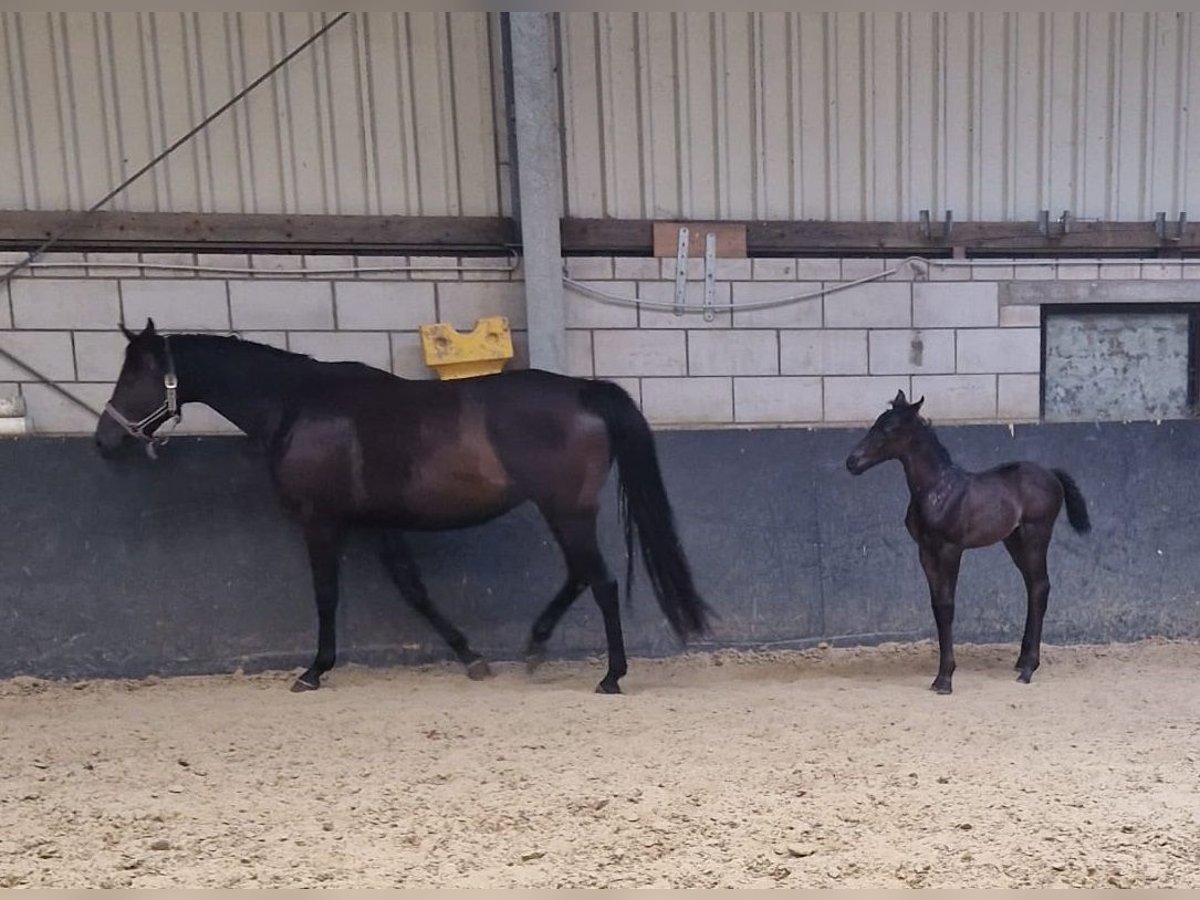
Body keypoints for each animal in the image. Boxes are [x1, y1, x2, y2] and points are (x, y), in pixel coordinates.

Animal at [98, 321, 710, 696]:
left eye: (136, 375)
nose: (106, 440)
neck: (298, 405)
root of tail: (585, 391)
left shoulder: (321, 522)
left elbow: (326, 595)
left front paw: (314, 670)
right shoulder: (381, 525)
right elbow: (413, 591)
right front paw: (471, 658)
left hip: (567, 510)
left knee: (600, 582)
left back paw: (610, 675)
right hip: (564, 511)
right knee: (581, 576)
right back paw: (536, 647)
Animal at [849, 391, 1094, 696]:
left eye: (890, 428)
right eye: (876, 422)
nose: (852, 462)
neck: (937, 491)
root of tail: (1051, 473)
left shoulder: (951, 549)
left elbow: (947, 606)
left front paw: (945, 679)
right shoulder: (925, 551)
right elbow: (937, 606)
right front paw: (940, 676)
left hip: (1035, 535)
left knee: (1040, 587)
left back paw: (1028, 669)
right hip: (1013, 541)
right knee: (1032, 587)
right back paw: (1021, 660)